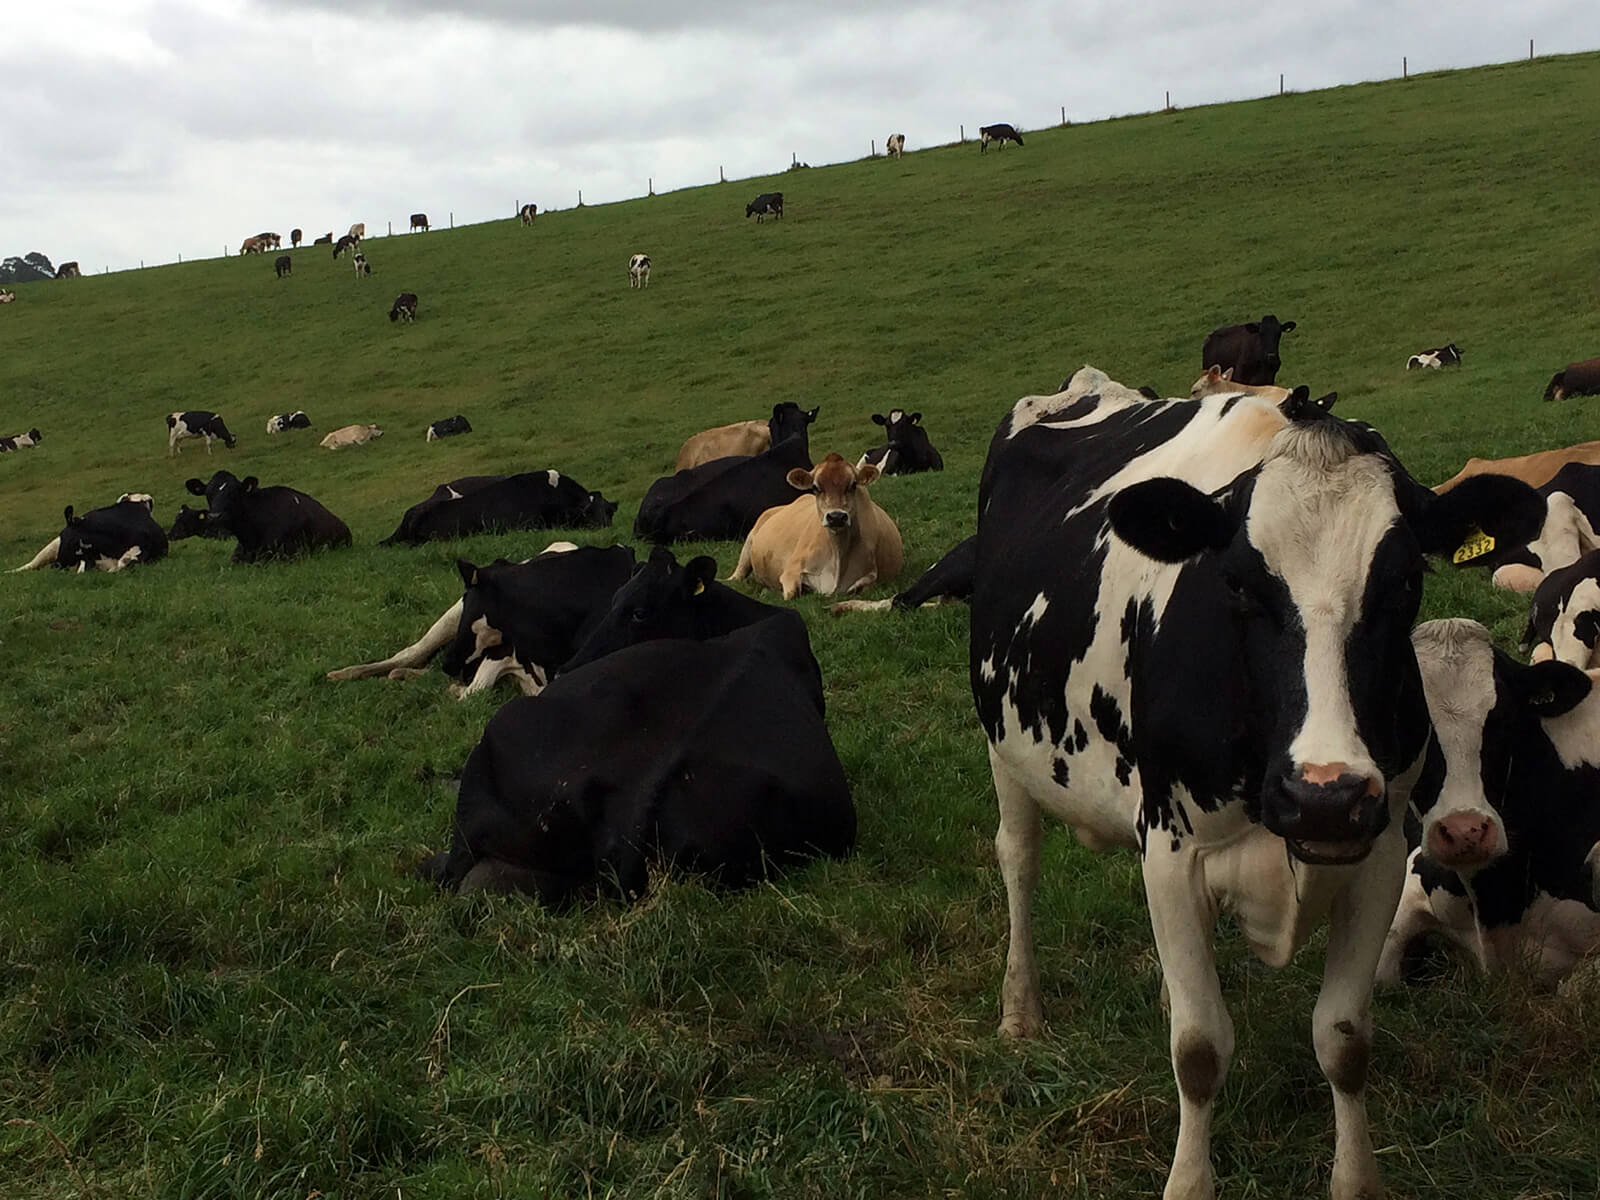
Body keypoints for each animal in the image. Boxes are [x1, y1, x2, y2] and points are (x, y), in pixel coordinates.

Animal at [730, 453, 903, 598]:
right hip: (750, 540)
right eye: (815, 487)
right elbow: (791, 593)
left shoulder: (870, 575)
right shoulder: (791, 570)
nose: (836, 517)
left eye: (853, 485)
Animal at [969, 365, 1543, 1199]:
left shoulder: (1377, 853)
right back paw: (1021, 1010)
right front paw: (1188, 1182)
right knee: (1019, 860)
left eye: (1406, 581)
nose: (1324, 796)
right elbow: (1200, 1049)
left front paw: (1355, 1181)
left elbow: (1344, 1039)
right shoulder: (1172, 849)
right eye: (1237, 585)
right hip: (1003, 744)